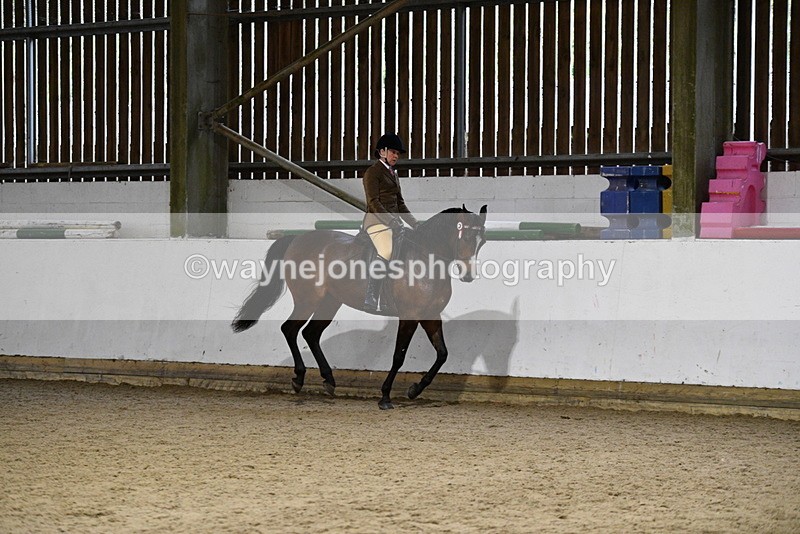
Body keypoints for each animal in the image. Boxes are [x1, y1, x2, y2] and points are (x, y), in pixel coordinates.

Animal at [231, 205, 488, 410]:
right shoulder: (410, 316)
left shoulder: (431, 316)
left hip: (330, 302)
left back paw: (328, 381)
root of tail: (297, 238)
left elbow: (442, 354)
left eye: (482, 241)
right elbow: (399, 356)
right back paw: (299, 379)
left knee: (310, 333)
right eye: (465, 237)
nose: (468, 275)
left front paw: (415, 390)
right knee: (290, 329)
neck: (426, 260)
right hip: (308, 300)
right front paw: (385, 397)